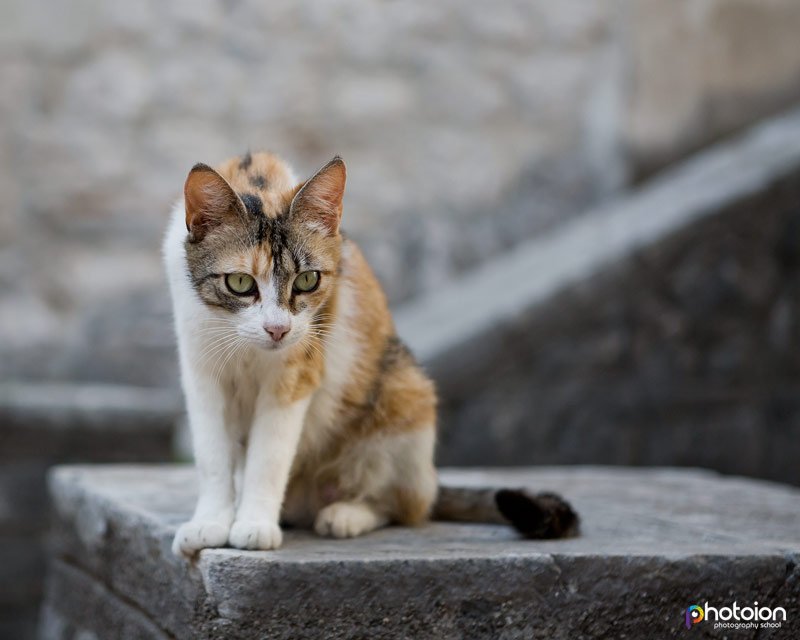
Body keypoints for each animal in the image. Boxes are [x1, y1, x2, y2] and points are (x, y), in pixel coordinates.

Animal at [164, 151, 576, 556]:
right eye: (240, 282)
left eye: (307, 280)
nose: (277, 329)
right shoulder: (200, 370)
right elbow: (212, 456)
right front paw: (211, 522)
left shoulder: (296, 371)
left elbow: (269, 455)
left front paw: (254, 525)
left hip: (406, 395)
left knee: (407, 505)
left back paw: (347, 514)